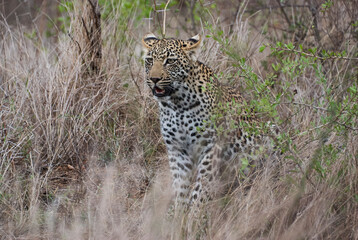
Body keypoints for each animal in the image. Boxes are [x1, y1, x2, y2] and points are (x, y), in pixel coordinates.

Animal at [141, 33, 274, 206]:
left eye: (170, 61)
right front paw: (178, 212)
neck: (177, 104)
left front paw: (195, 213)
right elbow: (180, 188)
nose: (154, 79)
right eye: (150, 60)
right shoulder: (177, 150)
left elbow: (200, 189)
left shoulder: (210, 148)